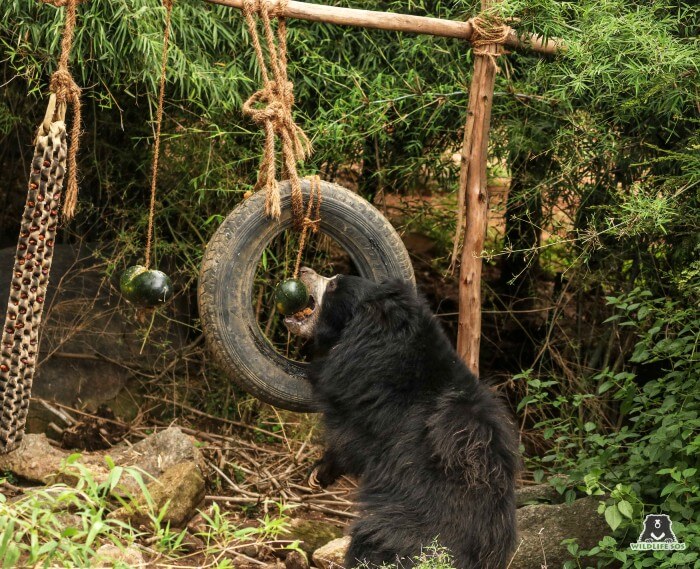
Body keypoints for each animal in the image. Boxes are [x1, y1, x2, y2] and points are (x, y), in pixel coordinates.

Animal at [284, 268, 520, 568]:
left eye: (334, 284)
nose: (304, 271)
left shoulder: (372, 401)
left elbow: (350, 439)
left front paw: (318, 471)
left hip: (401, 526)